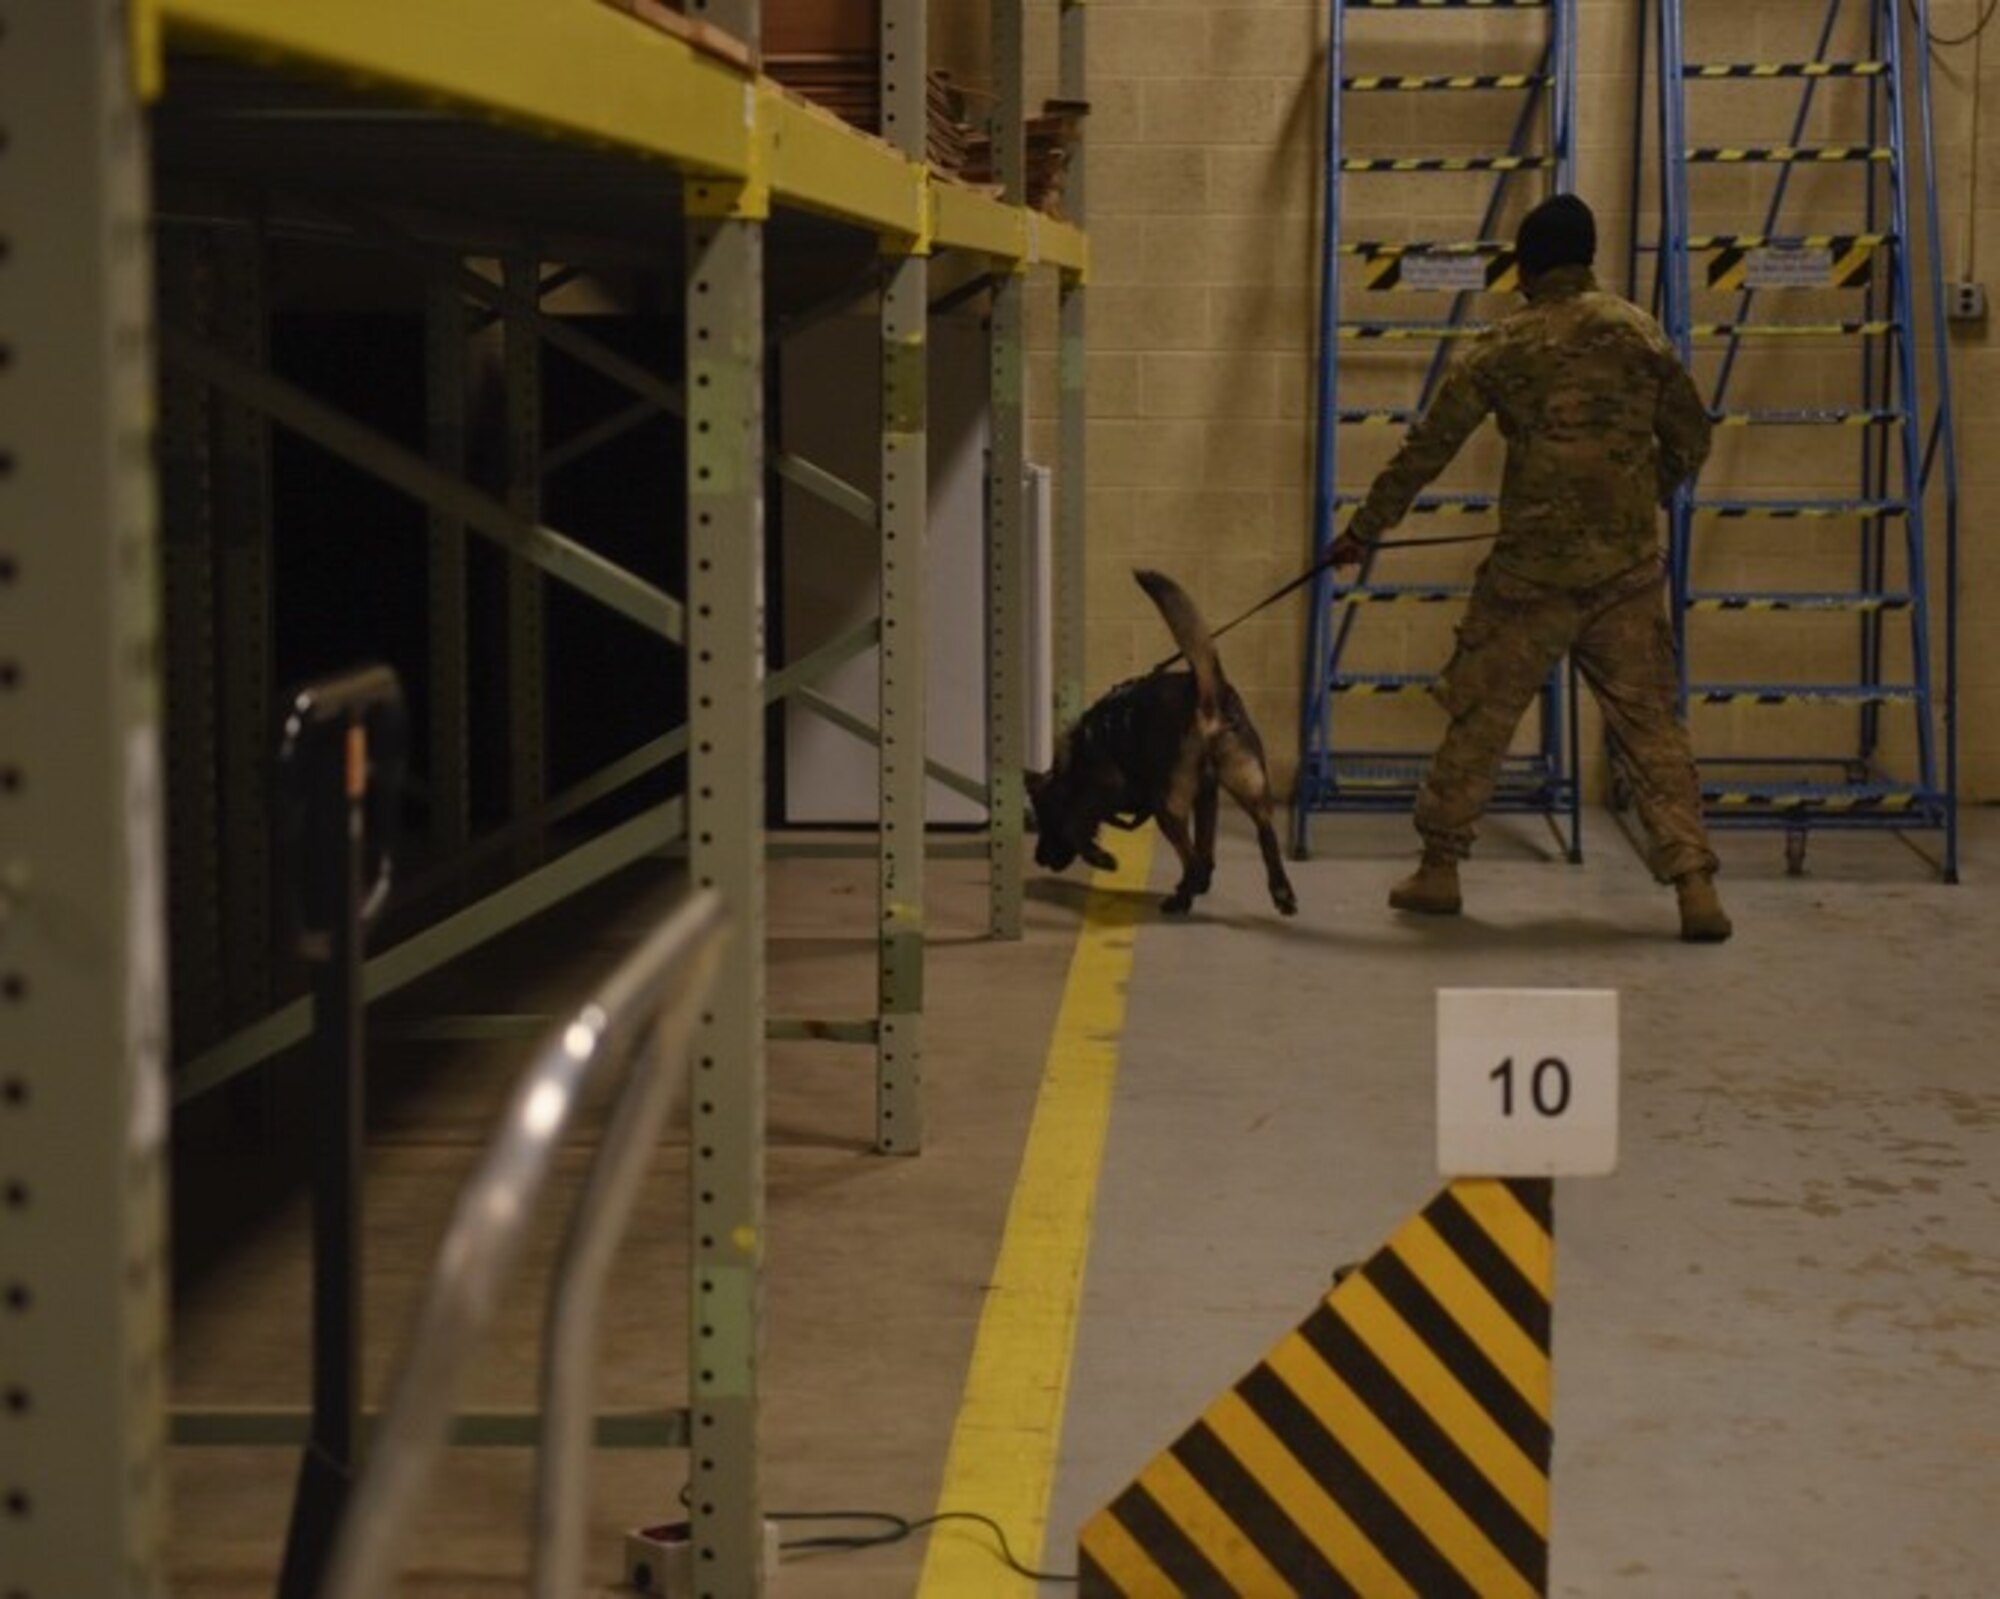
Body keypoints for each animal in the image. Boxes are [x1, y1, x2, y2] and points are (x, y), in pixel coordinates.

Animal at [1032, 567, 1296, 919]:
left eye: (1043, 821)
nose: (1037, 858)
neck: (1072, 764)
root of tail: (1206, 698)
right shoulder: (1206, 797)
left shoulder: (1102, 788)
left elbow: (1076, 825)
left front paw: (1101, 858)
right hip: (1245, 788)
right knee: (1258, 836)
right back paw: (1279, 892)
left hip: (1167, 807)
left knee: (1196, 864)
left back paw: (1182, 896)